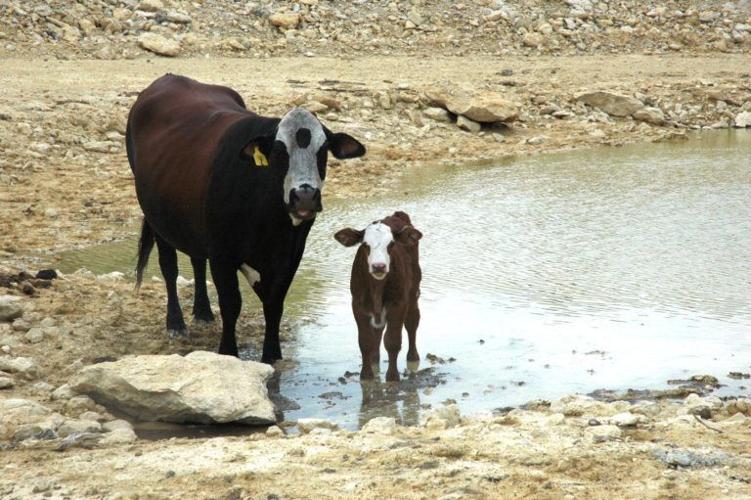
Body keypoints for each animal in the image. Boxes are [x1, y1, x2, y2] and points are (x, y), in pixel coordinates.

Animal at [125, 74, 366, 363]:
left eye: (323, 150)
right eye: (278, 151)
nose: (305, 196)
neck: (270, 221)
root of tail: (169, 78)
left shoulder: (290, 255)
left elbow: (274, 303)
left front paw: (272, 355)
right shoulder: (222, 254)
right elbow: (231, 304)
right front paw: (228, 352)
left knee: (197, 260)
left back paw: (203, 311)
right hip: (159, 221)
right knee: (169, 268)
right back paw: (175, 322)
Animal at [334, 211, 423, 381]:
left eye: (391, 244)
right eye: (365, 245)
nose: (379, 266)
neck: (376, 287)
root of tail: (396, 215)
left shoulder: (398, 304)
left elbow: (393, 341)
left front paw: (393, 376)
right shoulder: (358, 305)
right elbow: (365, 341)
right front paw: (366, 375)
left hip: (413, 291)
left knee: (412, 321)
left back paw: (413, 356)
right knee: (378, 329)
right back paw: (374, 358)